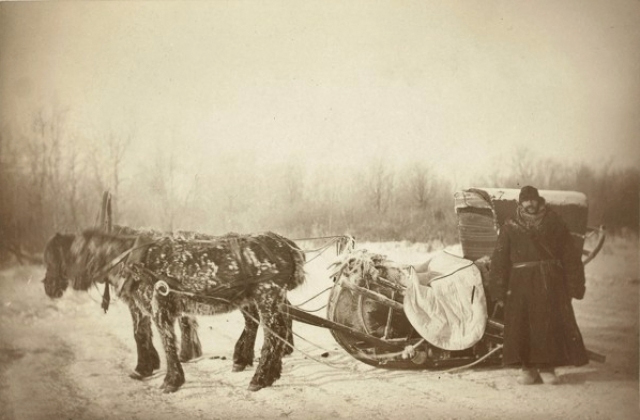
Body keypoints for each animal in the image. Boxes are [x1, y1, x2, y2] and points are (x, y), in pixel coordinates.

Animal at [47, 228, 302, 392]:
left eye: (56, 257)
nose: (49, 288)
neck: (132, 259)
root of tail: (286, 245)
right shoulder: (143, 306)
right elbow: (145, 335)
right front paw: (146, 368)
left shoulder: (158, 307)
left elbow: (166, 340)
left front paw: (171, 380)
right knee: (274, 330)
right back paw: (267, 371)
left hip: (267, 296)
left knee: (272, 334)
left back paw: (259, 377)